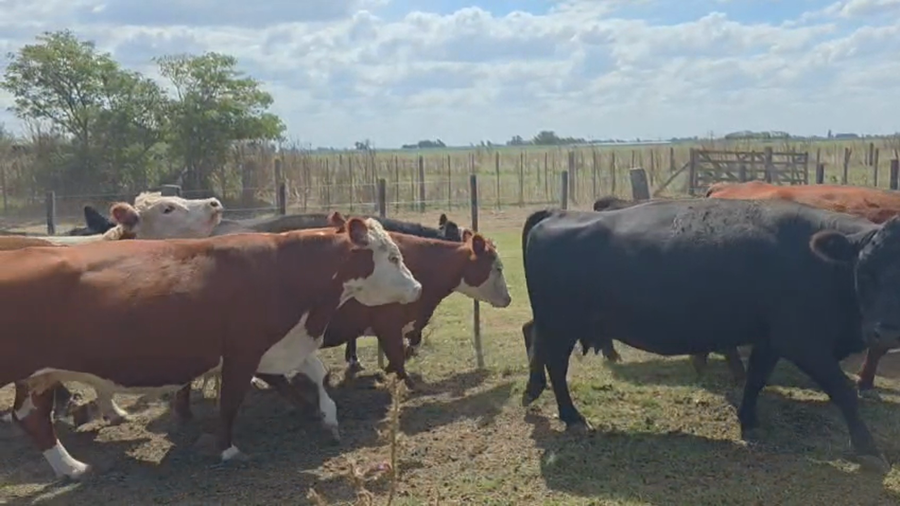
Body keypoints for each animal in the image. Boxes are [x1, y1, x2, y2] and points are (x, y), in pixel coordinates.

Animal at [2, 212, 422, 480]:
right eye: (393, 256)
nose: (416, 287)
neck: (286, 270)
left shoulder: (283, 342)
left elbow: (317, 372)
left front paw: (328, 416)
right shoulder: (241, 352)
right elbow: (231, 401)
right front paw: (227, 449)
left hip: (39, 375)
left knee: (31, 417)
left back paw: (71, 467)